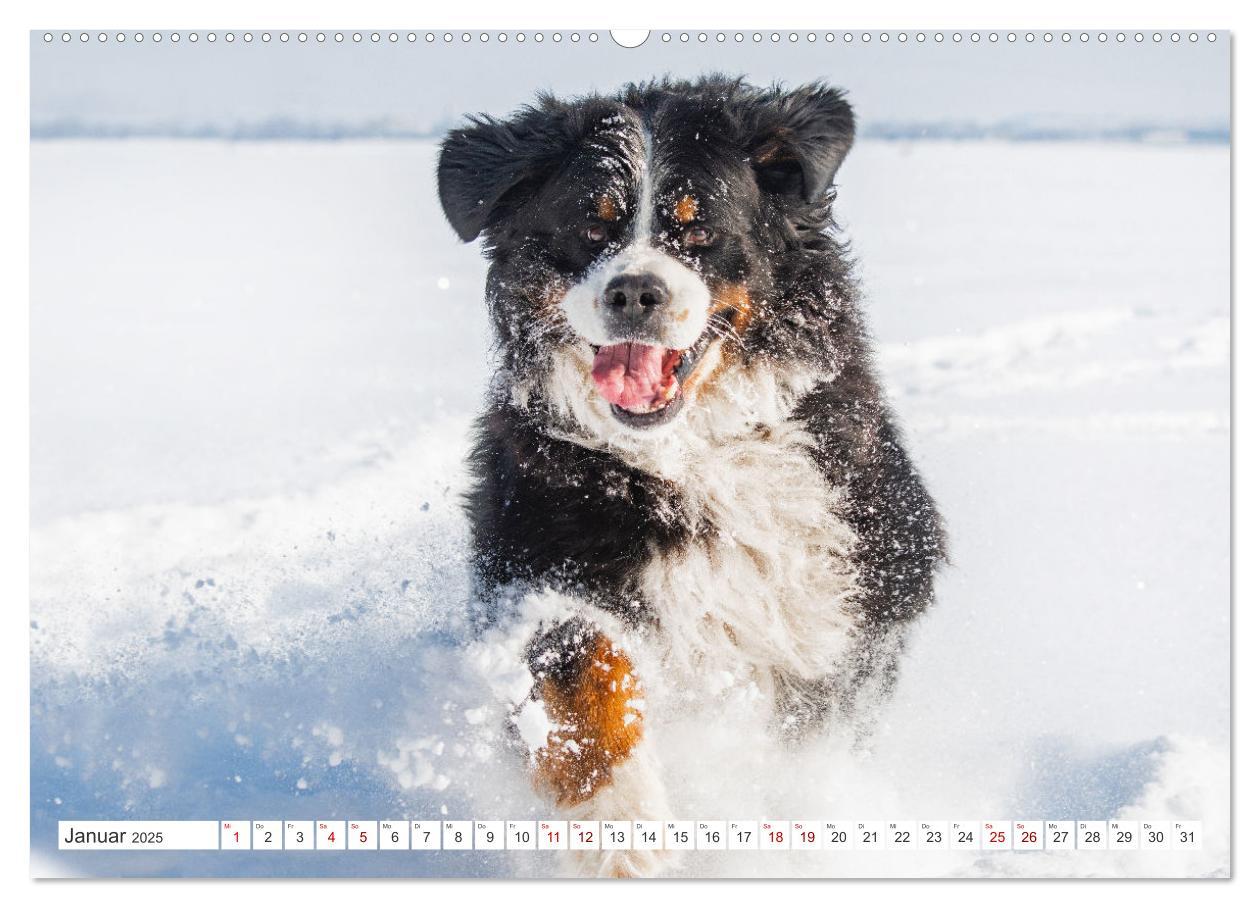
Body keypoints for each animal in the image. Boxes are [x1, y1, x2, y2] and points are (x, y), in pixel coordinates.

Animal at [438, 76, 942, 871]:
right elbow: (583, 671)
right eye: (592, 229)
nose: (634, 293)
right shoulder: (535, 557)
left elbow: (804, 748)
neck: (692, 453)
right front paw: (622, 827)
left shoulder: (847, 603)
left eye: (699, 230)